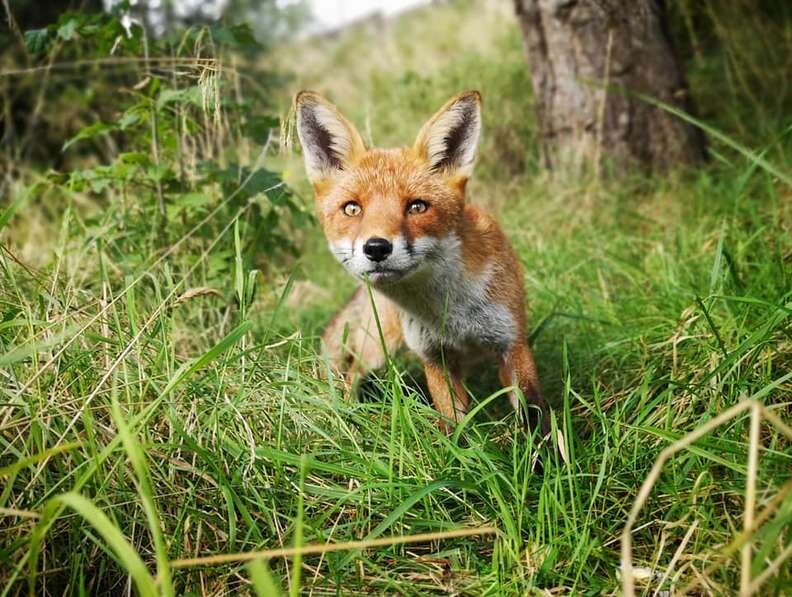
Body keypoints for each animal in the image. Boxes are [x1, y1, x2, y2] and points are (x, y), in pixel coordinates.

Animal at [294, 88, 548, 434]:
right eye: (352, 209)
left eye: (417, 207)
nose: (376, 247)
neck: (452, 315)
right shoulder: (435, 358)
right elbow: (454, 428)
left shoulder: (513, 345)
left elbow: (537, 421)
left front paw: (548, 450)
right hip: (379, 347)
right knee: (352, 373)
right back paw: (347, 416)